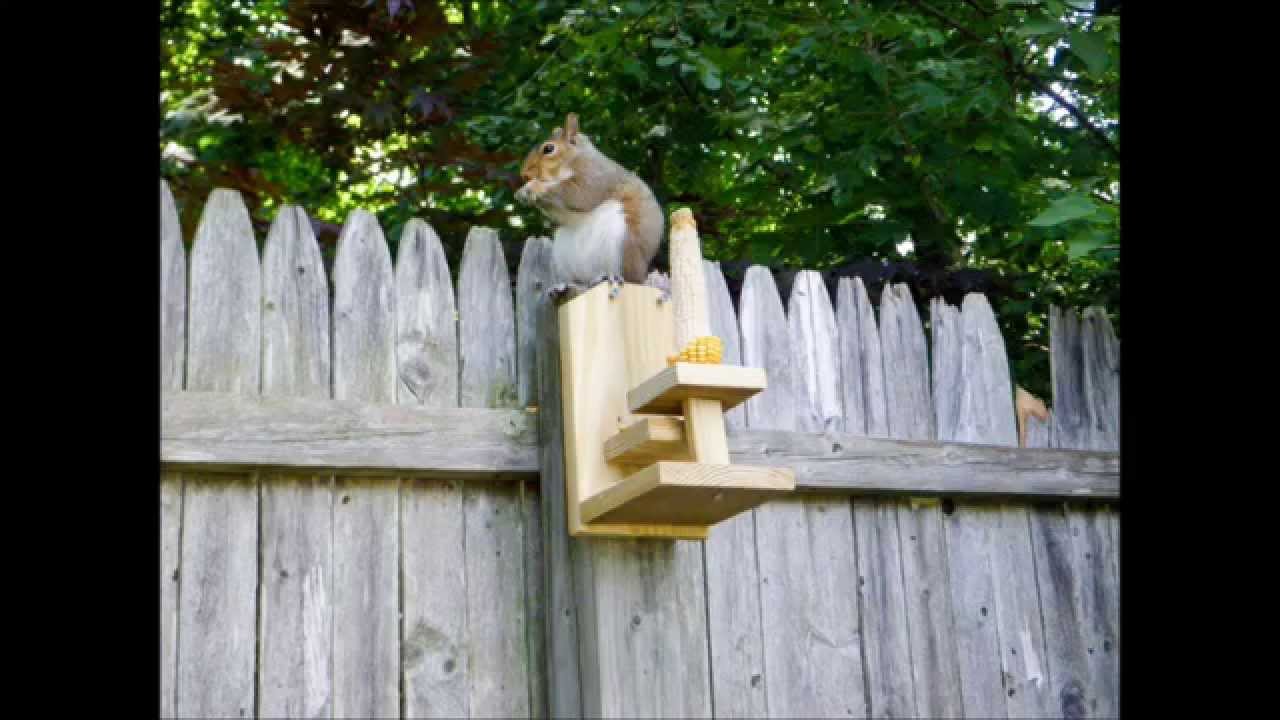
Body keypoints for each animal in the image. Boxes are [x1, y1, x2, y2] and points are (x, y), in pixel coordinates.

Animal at [515, 113, 664, 300]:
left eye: (548, 149)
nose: (524, 175)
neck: (574, 159)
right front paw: (523, 192)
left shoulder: (595, 176)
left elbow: (579, 194)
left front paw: (534, 187)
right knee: (580, 283)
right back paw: (566, 286)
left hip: (621, 245)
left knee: (623, 275)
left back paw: (608, 276)